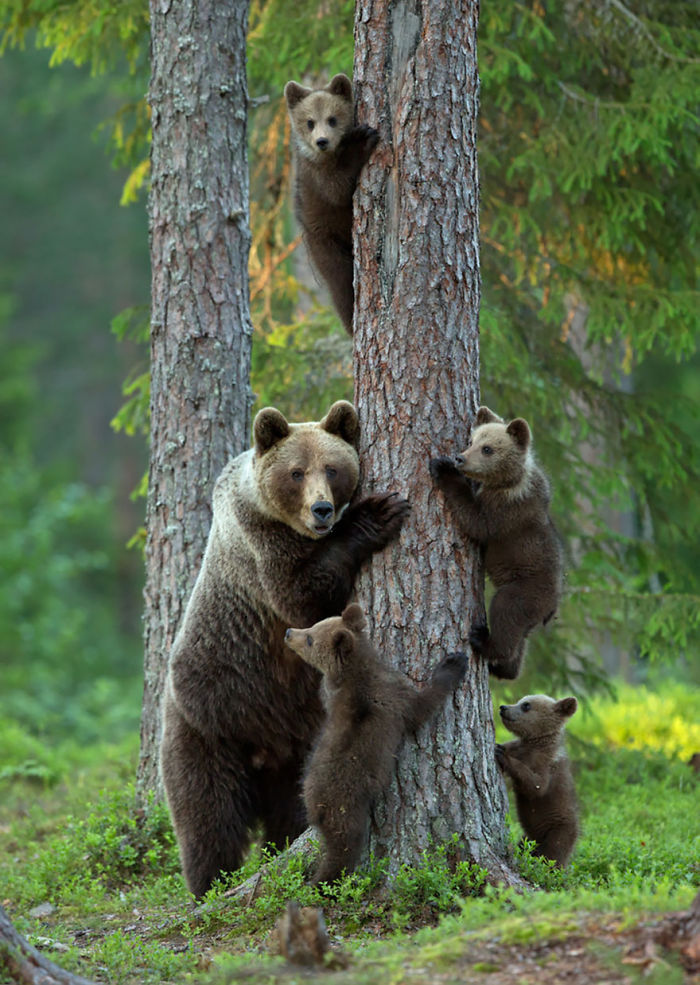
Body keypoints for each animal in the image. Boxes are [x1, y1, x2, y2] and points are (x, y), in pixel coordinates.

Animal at [282, 604, 468, 880]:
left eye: (310, 636)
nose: (288, 632)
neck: (355, 669)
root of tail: (315, 807)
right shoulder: (394, 699)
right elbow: (422, 707)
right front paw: (453, 663)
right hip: (347, 808)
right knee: (344, 848)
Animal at [284, 73, 378, 334]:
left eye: (332, 118)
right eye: (309, 122)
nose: (322, 141)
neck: (330, 155)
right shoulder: (316, 176)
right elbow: (337, 189)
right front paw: (361, 140)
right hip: (325, 243)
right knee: (341, 284)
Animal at [430, 406, 560, 676]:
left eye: (488, 448)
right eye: (471, 441)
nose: (460, 458)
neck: (510, 480)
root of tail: (552, 607)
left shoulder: (507, 511)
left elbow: (477, 522)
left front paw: (443, 468)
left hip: (526, 590)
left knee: (506, 613)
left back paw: (483, 641)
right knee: (520, 641)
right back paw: (505, 669)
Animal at [498, 692, 580, 868]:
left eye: (526, 705)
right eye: (520, 700)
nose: (503, 707)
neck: (536, 743)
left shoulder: (547, 765)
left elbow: (536, 786)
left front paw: (502, 756)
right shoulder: (519, 747)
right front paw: (499, 747)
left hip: (559, 831)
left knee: (553, 857)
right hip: (528, 838)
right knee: (524, 846)